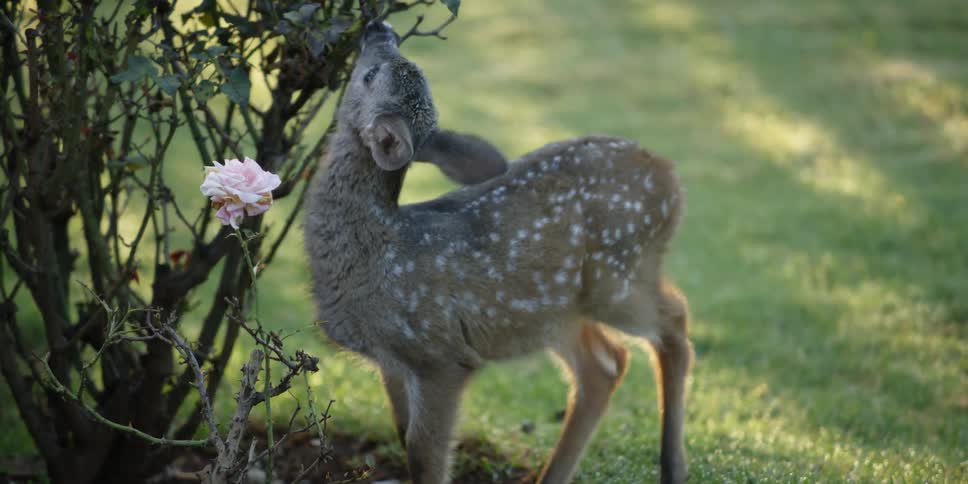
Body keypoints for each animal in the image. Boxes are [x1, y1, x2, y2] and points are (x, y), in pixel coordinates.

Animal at [304, 21, 692, 484]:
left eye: (369, 75)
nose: (380, 26)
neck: (375, 252)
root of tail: (671, 175)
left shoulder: (440, 354)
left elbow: (422, 453)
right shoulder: (391, 359)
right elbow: (400, 431)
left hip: (617, 276)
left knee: (674, 319)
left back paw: (672, 465)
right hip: (553, 312)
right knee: (606, 364)